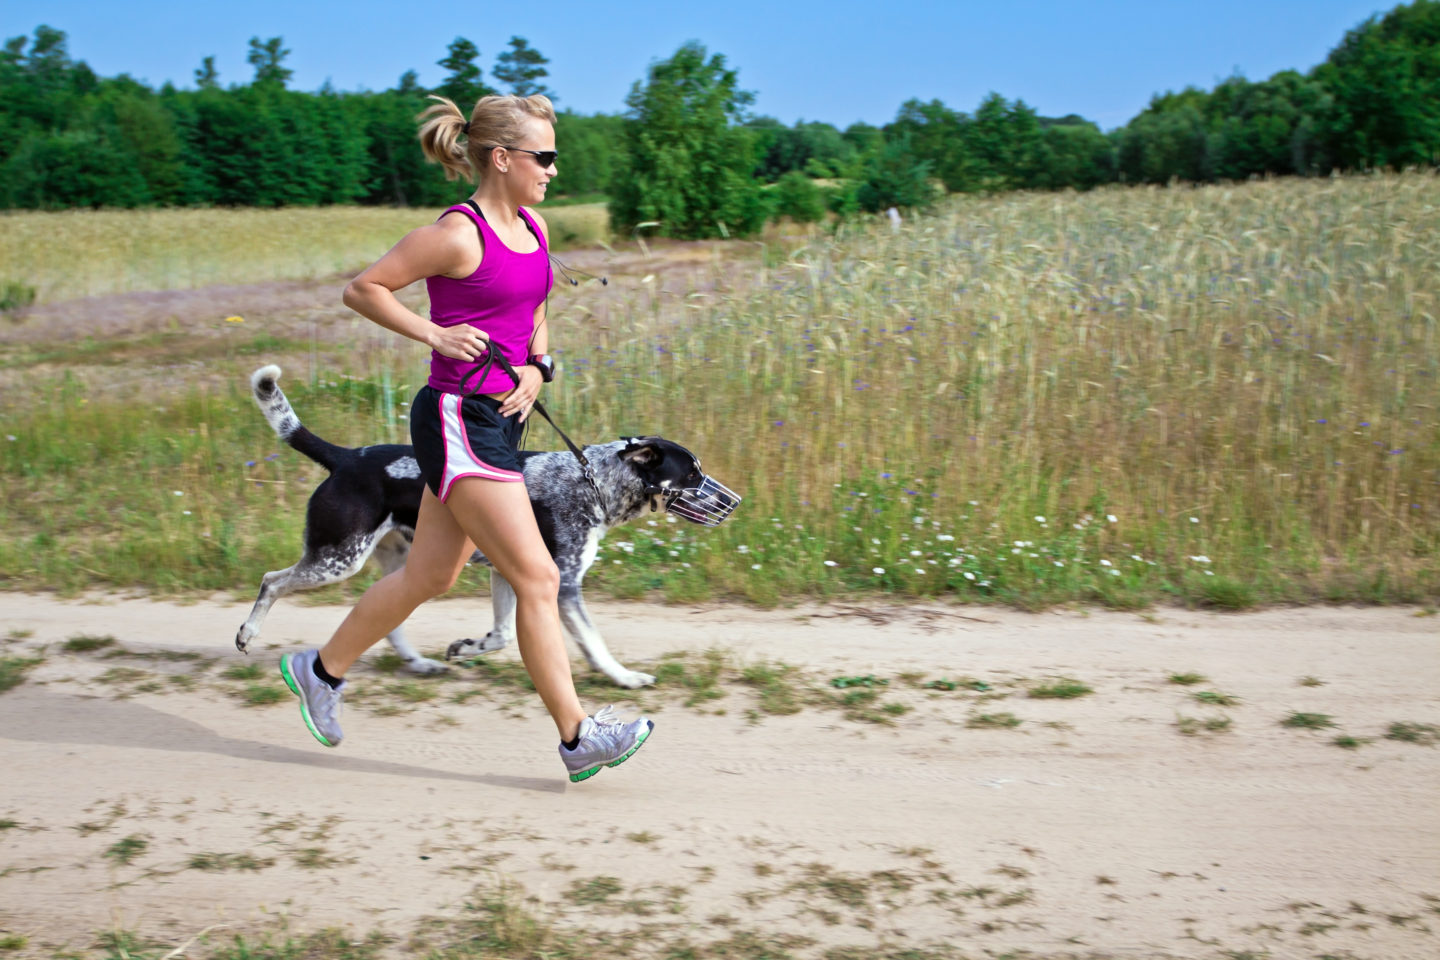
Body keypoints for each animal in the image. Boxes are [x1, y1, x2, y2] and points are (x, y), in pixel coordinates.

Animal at [236, 364, 743, 687]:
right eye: (692, 475)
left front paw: (466, 648)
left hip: (404, 563)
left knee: (384, 615)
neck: (593, 481)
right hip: (337, 558)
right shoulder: (562, 586)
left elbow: (499, 636)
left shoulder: (509, 572)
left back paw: (418, 664)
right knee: (271, 580)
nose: (735, 503)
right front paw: (625, 677)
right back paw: (248, 633)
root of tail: (345, 457)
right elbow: (594, 645)